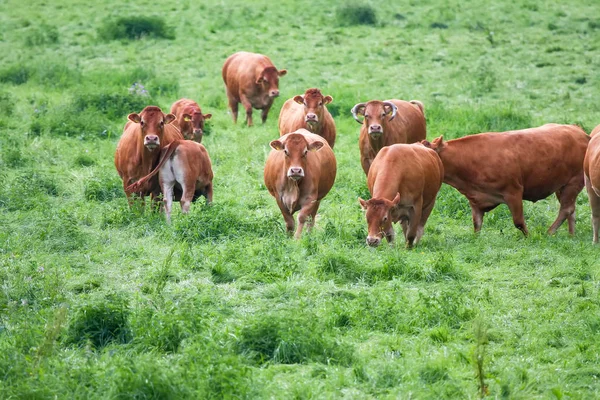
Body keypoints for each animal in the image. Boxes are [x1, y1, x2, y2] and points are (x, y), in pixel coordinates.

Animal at [422, 123, 592, 236]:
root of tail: (579, 132)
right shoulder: (476, 199)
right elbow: (477, 224)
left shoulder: (514, 192)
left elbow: (519, 222)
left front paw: (529, 237)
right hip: (561, 186)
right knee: (571, 209)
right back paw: (571, 235)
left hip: (573, 182)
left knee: (566, 209)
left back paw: (549, 232)